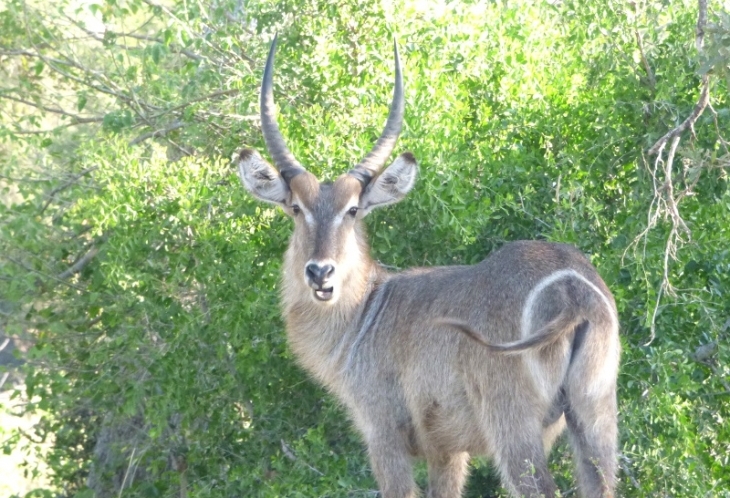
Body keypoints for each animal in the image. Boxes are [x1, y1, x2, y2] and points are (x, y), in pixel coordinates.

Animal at [236, 38, 616, 498]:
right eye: (295, 208)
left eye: (352, 210)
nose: (320, 273)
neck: (366, 310)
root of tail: (570, 285)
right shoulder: (447, 449)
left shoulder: (383, 434)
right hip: (595, 415)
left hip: (514, 424)